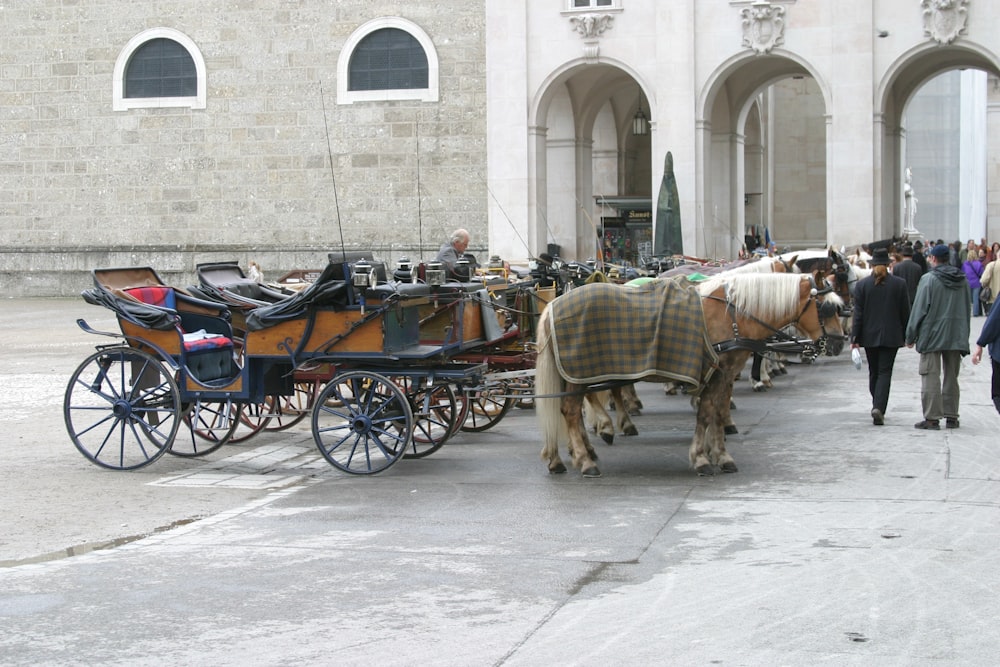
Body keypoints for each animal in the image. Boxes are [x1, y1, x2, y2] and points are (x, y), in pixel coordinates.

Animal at [540, 274, 844, 478]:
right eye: (826, 308)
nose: (839, 343)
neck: (733, 315)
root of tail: (555, 304)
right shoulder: (718, 373)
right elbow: (708, 412)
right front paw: (703, 457)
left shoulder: (724, 374)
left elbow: (717, 413)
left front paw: (718, 453)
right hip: (579, 373)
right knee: (571, 410)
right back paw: (585, 458)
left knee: (573, 409)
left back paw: (576, 454)